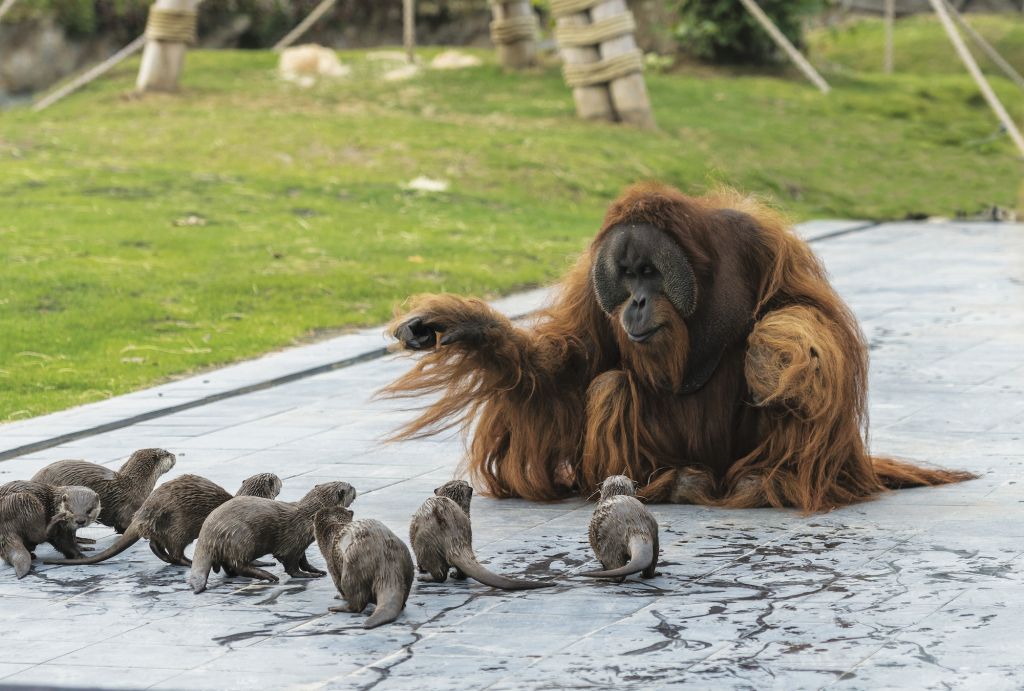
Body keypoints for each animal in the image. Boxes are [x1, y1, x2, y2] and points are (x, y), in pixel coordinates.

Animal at [46, 472, 282, 569]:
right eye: (275, 478)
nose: (278, 477)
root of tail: (144, 512)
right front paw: (263, 563)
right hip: (180, 526)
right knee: (175, 550)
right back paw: (187, 562)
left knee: (155, 544)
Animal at [190, 481, 358, 593]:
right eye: (350, 487)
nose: (355, 487)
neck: (308, 518)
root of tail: (208, 533)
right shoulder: (292, 543)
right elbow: (291, 565)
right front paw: (307, 574)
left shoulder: (300, 543)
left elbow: (303, 560)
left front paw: (316, 570)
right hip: (242, 537)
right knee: (238, 564)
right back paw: (268, 575)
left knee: (229, 565)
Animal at [407, 481, 552, 589]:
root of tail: (454, 539)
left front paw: (421, 569)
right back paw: (454, 574)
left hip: (424, 543)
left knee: (439, 573)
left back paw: (424, 578)